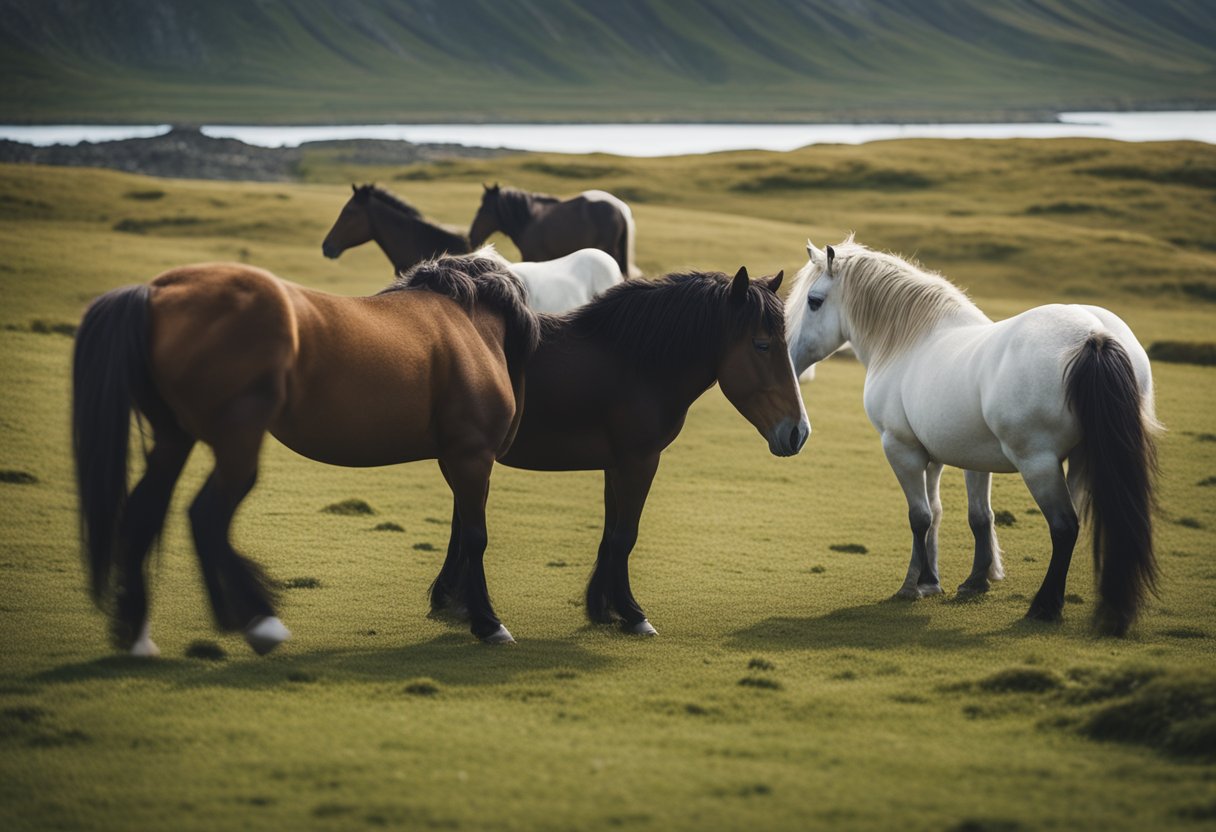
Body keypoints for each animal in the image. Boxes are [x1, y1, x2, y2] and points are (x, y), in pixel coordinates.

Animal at [69, 250, 537, 651]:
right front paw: (486, 622)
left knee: (143, 514)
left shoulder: (455, 458)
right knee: (205, 516)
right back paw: (260, 622)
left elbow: (459, 528)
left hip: (173, 439)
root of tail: (157, 292)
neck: (467, 324)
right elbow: (474, 536)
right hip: (237, 443)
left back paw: (137, 635)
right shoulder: (471, 454)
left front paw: (454, 602)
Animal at [428, 266, 807, 632]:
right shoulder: (639, 462)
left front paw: (602, 606)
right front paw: (631, 613)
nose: (798, 432)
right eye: (761, 345)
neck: (636, 363)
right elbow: (625, 536)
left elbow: (611, 536)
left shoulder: (616, 465)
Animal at [787, 235, 1157, 637]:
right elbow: (967, 515)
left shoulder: (901, 450)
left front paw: (914, 585)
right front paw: (962, 580)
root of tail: (1094, 335)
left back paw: (1045, 606)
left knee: (1064, 527)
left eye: (814, 301)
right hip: (1082, 462)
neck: (909, 342)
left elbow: (919, 517)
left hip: (1040, 465)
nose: (788, 357)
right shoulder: (957, 459)